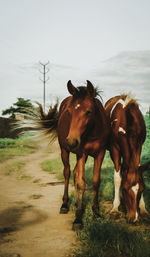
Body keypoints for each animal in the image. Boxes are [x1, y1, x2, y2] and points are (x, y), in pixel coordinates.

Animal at [21, 80, 109, 228]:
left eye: (88, 111)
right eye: (69, 111)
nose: (72, 141)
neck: (93, 132)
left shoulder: (100, 154)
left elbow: (96, 182)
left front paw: (96, 212)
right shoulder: (81, 153)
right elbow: (81, 183)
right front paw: (78, 218)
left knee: (75, 172)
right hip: (64, 151)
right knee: (67, 173)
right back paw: (65, 204)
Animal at [105, 94, 149, 222]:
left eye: (142, 189)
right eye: (125, 189)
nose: (134, 218)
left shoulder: (139, 146)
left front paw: (143, 208)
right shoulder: (114, 149)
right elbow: (117, 178)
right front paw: (115, 208)